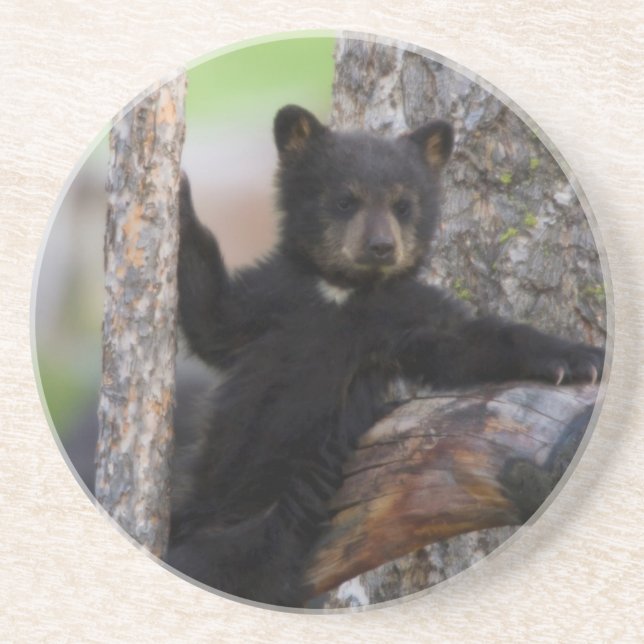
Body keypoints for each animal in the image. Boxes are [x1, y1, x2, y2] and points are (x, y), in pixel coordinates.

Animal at [165, 104, 604, 607]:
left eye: (403, 205)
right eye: (345, 201)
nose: (381, 246)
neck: (343, 291)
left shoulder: (402, 317)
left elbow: (465, 342)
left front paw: (576, 357)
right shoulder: (273, 297)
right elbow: (212, 318)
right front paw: (179, 194)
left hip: (265, 532)